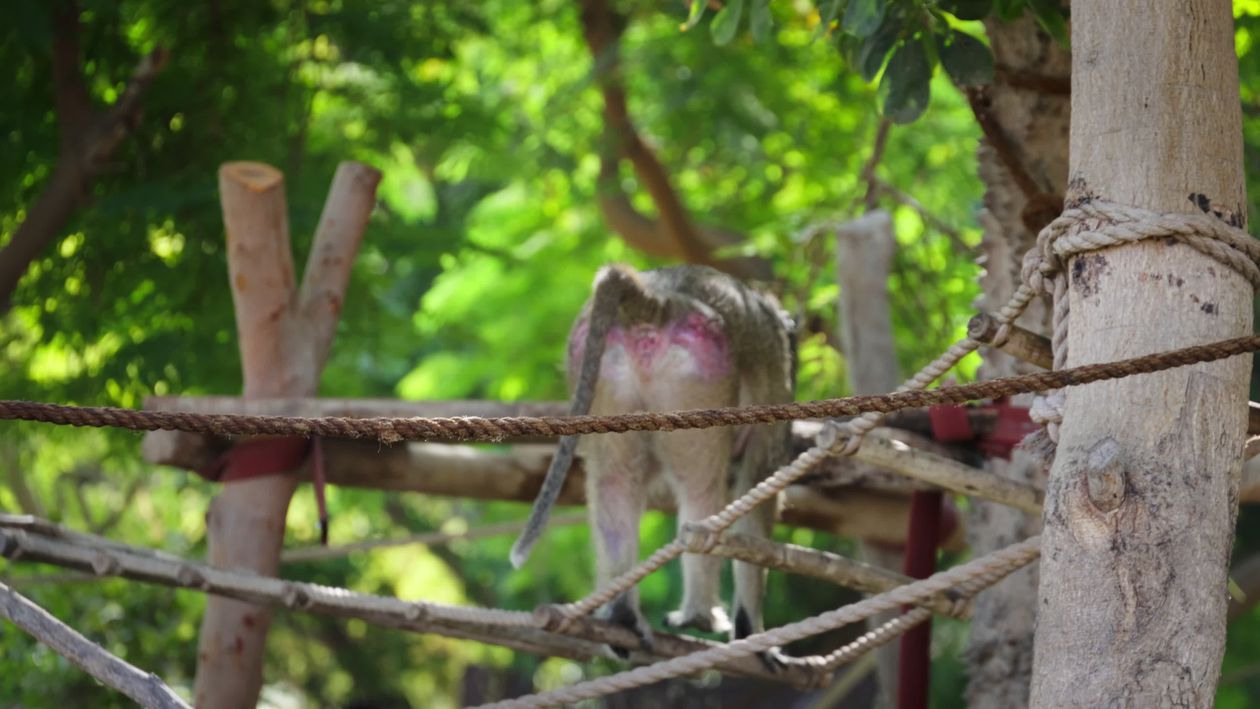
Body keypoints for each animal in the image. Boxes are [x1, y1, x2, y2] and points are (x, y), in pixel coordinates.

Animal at [510, 264, 795, 664]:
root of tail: (656, 301)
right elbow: (759, 485)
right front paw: (752, 630)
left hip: (602, 370)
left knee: (615, 484)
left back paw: (623, 618)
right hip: (700, 371)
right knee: (702, 488)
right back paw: (700, 616)